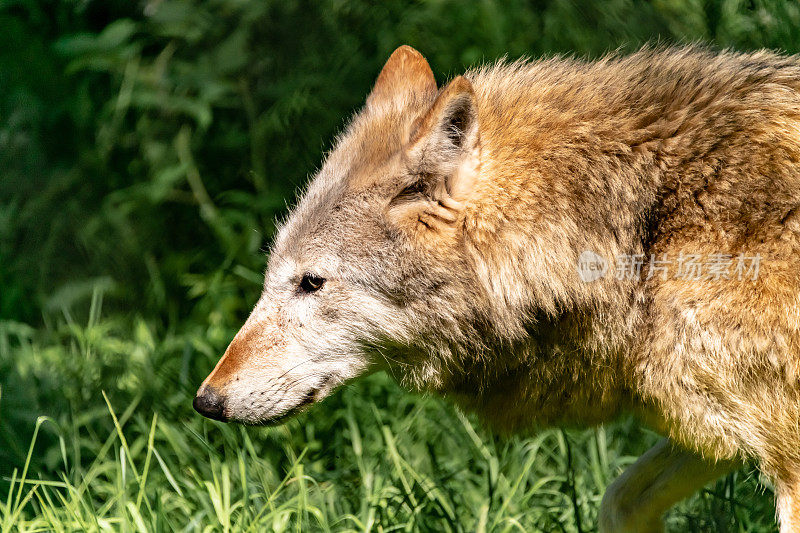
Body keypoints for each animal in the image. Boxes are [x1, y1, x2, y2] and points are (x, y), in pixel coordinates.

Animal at [195, 44, 800, 528]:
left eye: (311, 282)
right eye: (275, 273)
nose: (205, 400)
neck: (642, 234)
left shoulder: (785, 460)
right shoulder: (719, 431)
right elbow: (620, 500)